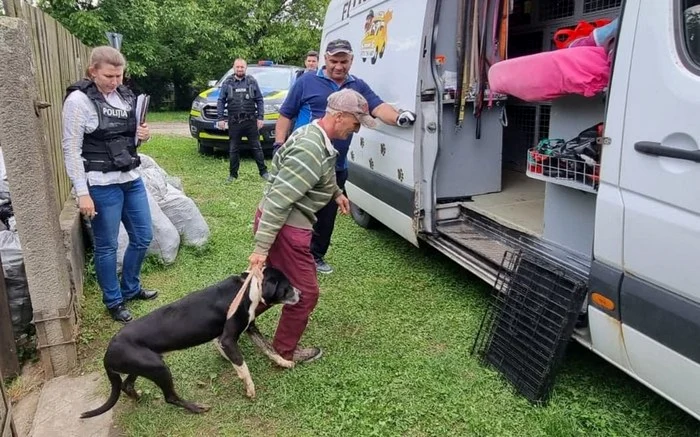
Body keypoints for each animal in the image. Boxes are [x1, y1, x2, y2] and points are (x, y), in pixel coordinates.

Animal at [79, 266, 298, 416]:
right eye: (287, 288)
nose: (301, 293)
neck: (248, 287)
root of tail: (108, 352)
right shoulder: (227, 339)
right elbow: (243, 366)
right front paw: (250, 389)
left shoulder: (250, 328)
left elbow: (268, 348)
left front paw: (284, 362)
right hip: (158, 368)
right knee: (170, 397)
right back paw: (196, 407)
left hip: (144, 364)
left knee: (127, 385)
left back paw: (137, 397)